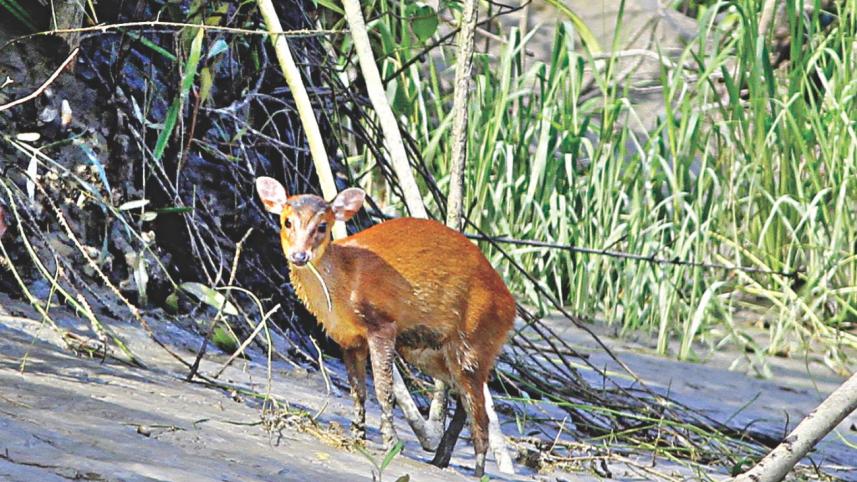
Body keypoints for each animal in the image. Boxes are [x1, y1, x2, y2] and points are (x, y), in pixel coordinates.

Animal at [255, 176, 516, 477]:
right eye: (287, 221)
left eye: (322, 225)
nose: (299, 256)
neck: (344, 286)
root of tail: (511, 307)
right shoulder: (348, 339)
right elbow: (358, 390)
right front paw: (357, 435)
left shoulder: (382, 324)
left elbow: (383, 389)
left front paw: (390, 442)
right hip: (429, 351)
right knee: (465, 400)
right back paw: (440, 459)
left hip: (475, 339)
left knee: (480, 412)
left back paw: (477, 471)